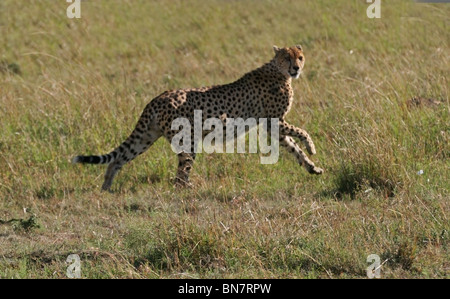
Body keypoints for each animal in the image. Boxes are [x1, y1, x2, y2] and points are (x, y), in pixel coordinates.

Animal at [72, 45, 322, 191]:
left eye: (300, 57)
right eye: (287, 57)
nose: (296, 68)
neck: (278, 71)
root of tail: (158, 97)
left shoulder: (274, 126)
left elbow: (293, 148)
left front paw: (312, 168)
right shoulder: (275, 120)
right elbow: (301, 132)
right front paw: (311, 147)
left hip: (145, 138)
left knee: (118, 159)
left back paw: (106, 188)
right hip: (187, 140)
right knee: (180, 176)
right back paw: (191, 189)